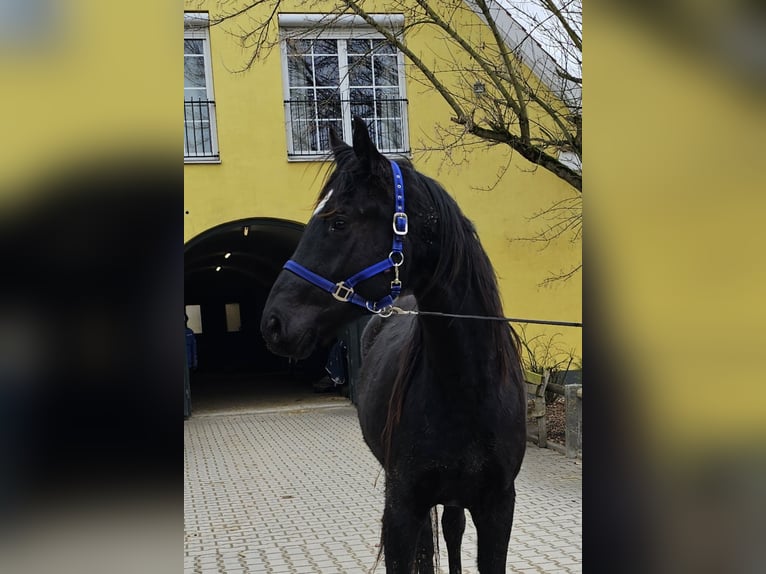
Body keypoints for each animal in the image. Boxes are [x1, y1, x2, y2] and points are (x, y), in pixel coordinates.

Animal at [262, 119, 528, 572]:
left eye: (338, 221)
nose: (273, 323)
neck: (468, 388)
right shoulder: (402, 504)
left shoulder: (498, 508)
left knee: (452, 529)